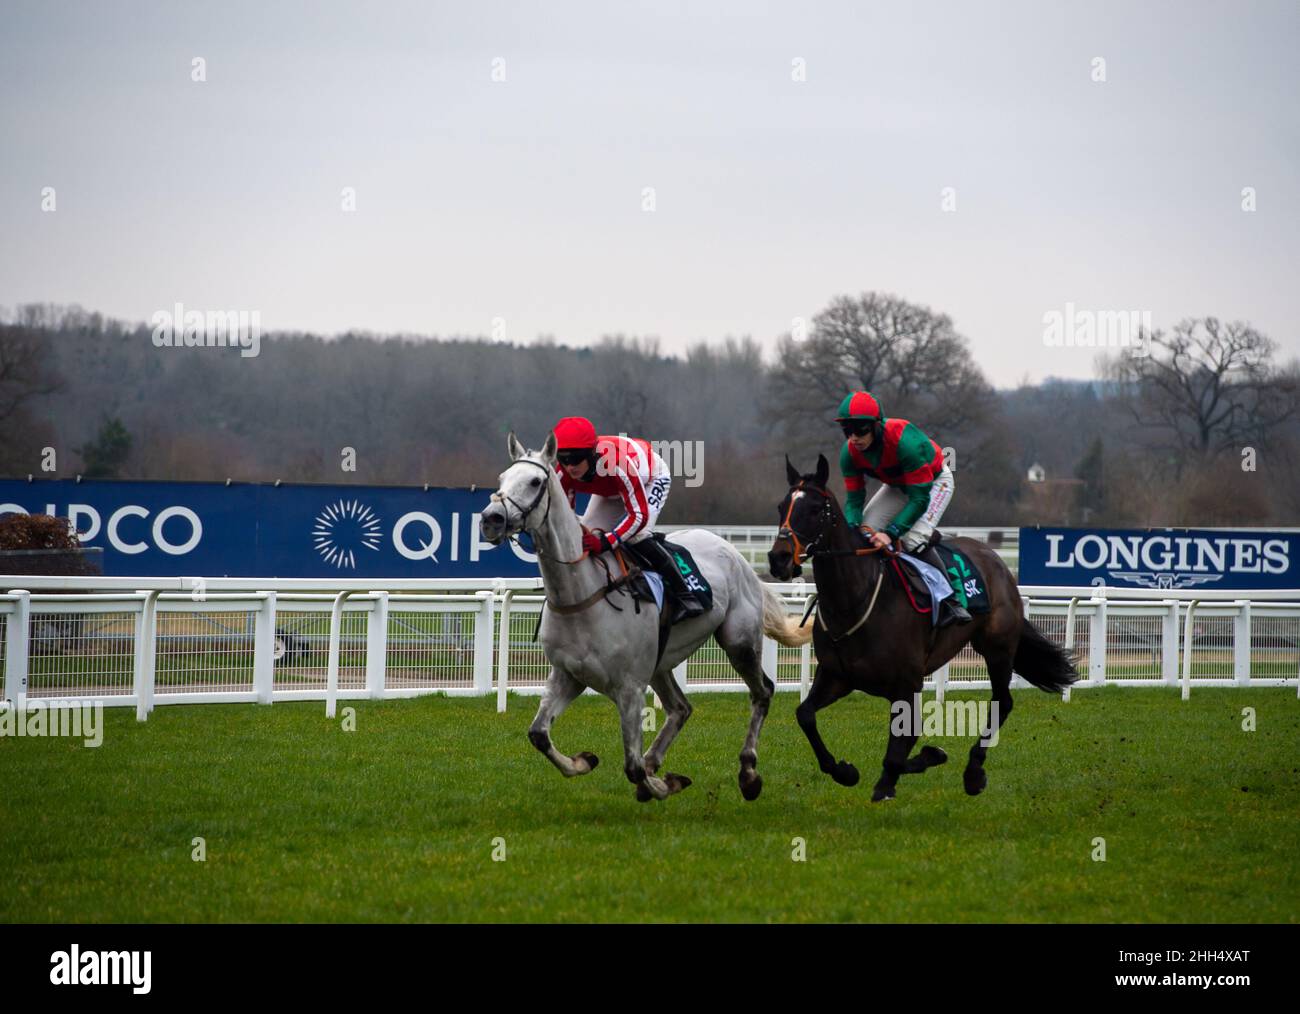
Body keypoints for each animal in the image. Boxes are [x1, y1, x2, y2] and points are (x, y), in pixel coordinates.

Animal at [483, 431, 806, 806]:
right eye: (502, 479)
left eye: (535, 482)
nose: (491, 518)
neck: (581, 594)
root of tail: (735, 554)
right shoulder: (568, 675)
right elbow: (538, 734)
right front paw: (585, 761)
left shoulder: (630, 688)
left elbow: (631, 766)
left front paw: (664, 784)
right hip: (660, 663)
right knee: (681, 708)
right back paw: (657, 762)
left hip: (738, 641)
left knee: (762, 692)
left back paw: (748, 773)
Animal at [764, 457, 1081, 800]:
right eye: (781, 506)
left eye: (813, 509)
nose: (778, 558)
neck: (855, 600)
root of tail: (996, 561)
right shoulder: (838, 676)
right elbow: (805, 715)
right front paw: (845, 771)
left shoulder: (907, 683)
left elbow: (900, 746)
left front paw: (893, 779)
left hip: (997, 648)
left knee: (1002, 702)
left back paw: (973, 772)